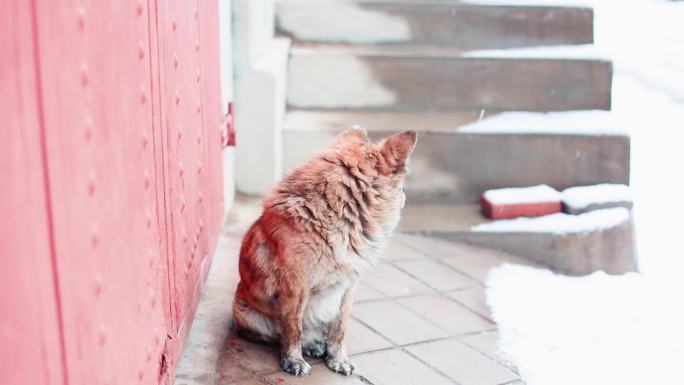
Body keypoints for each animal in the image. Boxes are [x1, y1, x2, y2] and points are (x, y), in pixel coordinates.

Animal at [235, 128, 416, 376]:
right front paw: (293, 361)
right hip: (247, 315)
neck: (339, 213)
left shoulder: (348, 287)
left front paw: (338, 359)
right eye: (401, 187)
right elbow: (293, 329)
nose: (406, 196)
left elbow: (339, 329)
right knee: (279, 333)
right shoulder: (295, 287)